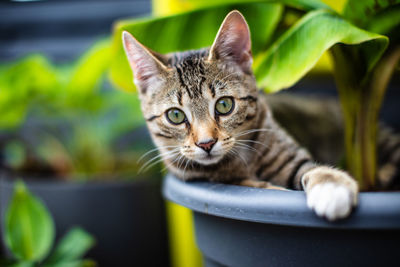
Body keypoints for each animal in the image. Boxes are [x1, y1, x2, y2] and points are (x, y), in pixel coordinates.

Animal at [121, 10, 356, 222]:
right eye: (176, 115)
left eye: (224, 105)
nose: (206, 143)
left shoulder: (288, 156)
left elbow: (310, 168)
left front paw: (331, 185)